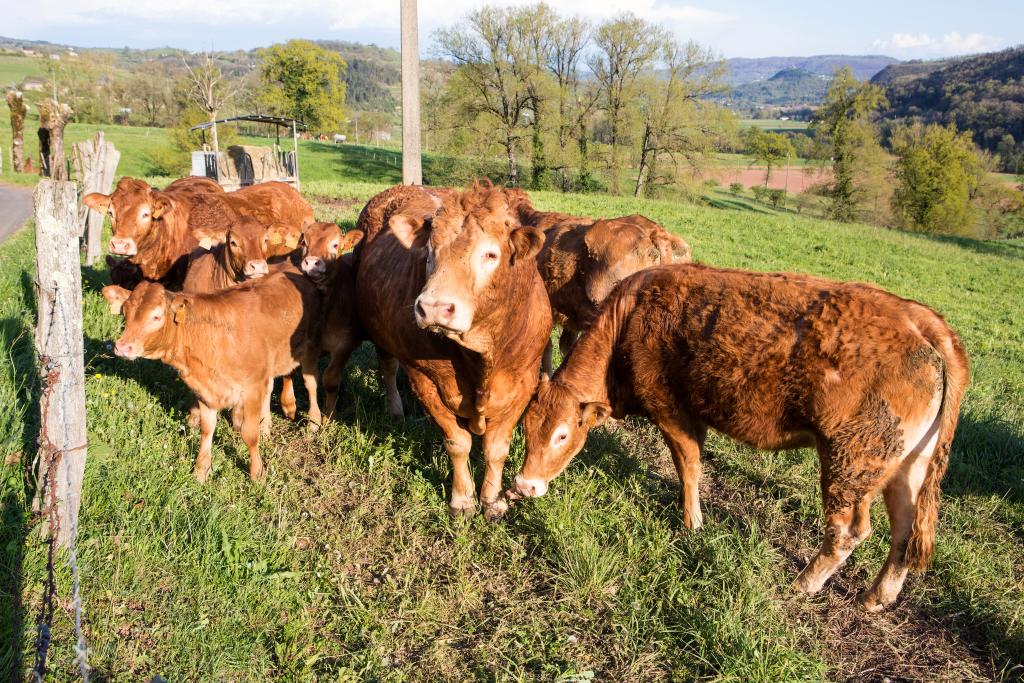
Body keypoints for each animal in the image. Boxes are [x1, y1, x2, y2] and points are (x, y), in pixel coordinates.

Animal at [103, 270, 319, 483]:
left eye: (156, 317)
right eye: (125, 313)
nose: (123, 347)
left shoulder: (252, 387)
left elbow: (249, 434)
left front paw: (257, 473)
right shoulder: (206, 389)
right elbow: (207, 429)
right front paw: (201, 470)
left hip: (309, 350)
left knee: (311, 384)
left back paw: (314, 422)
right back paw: (266, 427)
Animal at [358, 181, 552, 518]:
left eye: (490, 254)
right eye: (428, 254)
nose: (434, 307)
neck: (483, 355)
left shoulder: (524, 382)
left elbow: (496, 448)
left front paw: (492, 500)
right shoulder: (424, 378)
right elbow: (457, 442)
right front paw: (462, 499)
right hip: (380, 332)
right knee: (388, 367)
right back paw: (395, 409)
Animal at [512, 264, 966, 610]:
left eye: (562, 435)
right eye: (526, 426)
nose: (523, 485)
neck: (630, 318)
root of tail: (914, 316)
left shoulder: (673, 412)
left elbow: (689, 468)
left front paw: (692, 524)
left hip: (852, 461)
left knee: (848, 531)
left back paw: (804, 583)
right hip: (907, 464)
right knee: (905, 528)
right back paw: (877, 596)